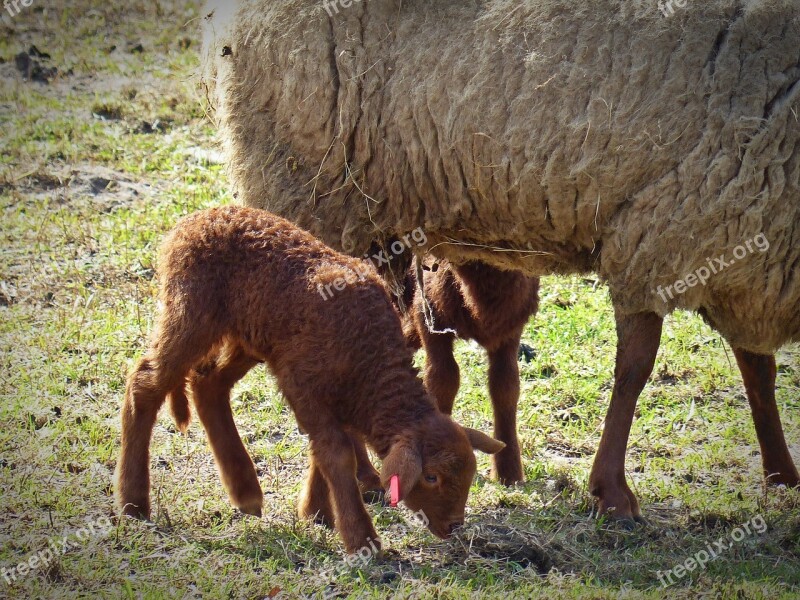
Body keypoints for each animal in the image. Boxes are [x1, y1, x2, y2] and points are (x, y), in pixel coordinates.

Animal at [113, 205, 504, 552]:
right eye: (431, 477)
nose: (454, 526)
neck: (369, 359)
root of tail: (195, 219)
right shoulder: (301, 382)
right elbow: (336, 452)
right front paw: (361, 539)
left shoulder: (333, 395)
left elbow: (325, 447)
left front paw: (317, 513)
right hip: (191, 313)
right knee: (145, 383)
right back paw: (133, 502)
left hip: (249, 336)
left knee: (209, 385)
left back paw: (245, 492)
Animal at [202, 0, 800, 524]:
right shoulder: (662, 232)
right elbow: (635, 369)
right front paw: (612, 492)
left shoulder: (740, 244)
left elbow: (756, 367)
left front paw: (781, 474)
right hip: (308, 192)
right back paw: (321, 504)